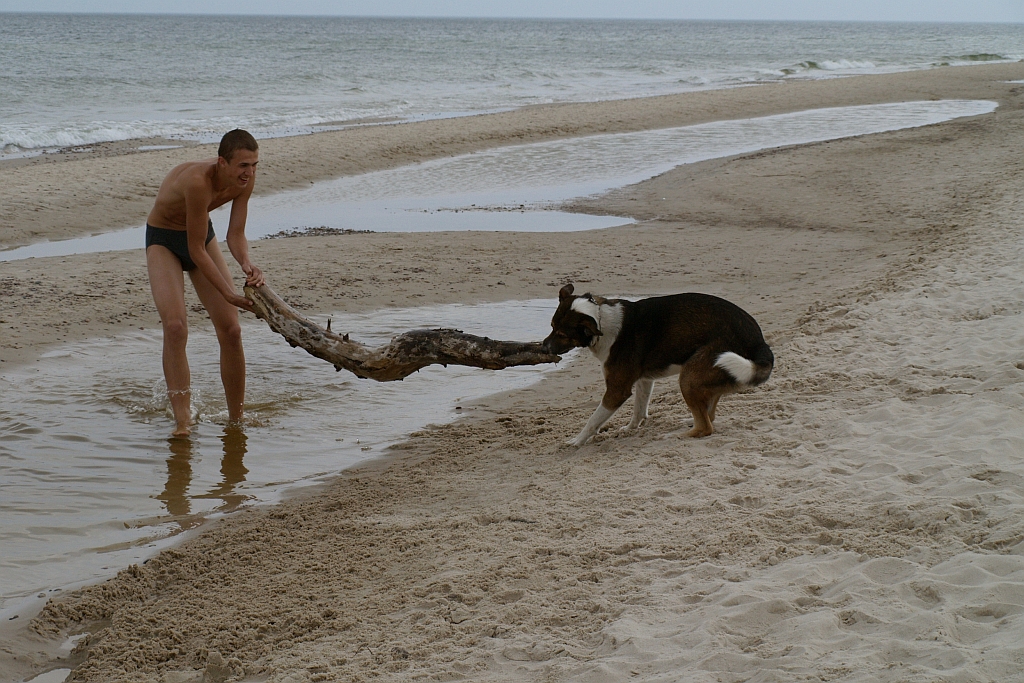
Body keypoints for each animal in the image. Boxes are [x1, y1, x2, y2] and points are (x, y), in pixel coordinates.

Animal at [542, 284, 774, 446]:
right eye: (551, 326)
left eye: (562, 334)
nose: (543, 349)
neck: (600, 321)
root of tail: (759, 342)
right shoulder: (644, 380)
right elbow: (639, 409)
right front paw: (631, 428)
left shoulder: (617, 391)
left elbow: (592, 421)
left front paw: (577, 441)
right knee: (709, 414)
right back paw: (688, 422)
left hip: (689, 377)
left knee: (706, 427)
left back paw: (676, 436)